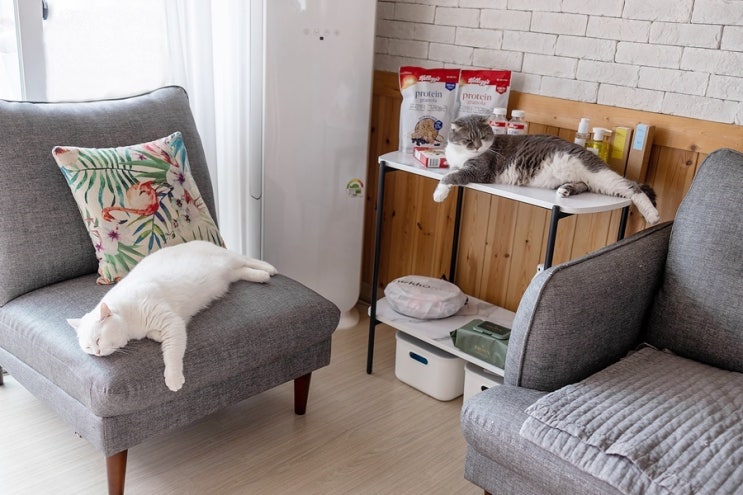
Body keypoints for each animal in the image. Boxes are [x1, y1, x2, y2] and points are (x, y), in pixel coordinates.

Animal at [67, 240, 277, 392]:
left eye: (98, 340)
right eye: (88, 347)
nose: (97, 353)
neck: (129, 320)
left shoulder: (170, 321)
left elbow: (172, 353)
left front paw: (173, 379)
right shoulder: (169, 324)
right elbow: (158, 336)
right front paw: (157, 337)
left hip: (227, 258)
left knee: (245, 258)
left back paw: (270, 269)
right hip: (228, 275)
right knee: (242, 271)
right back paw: (262, 276)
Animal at [434, 115, 660, 225]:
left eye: (483, 137)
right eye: (469, 140)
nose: (478, 147)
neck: (460, 154)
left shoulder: (479, 170)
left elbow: (451, 176)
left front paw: (439, 194)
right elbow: (452, 171)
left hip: (600, 175)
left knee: (632, 187)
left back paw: (652, 215)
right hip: (592, 182)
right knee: (585, 185)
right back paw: (566, 190)